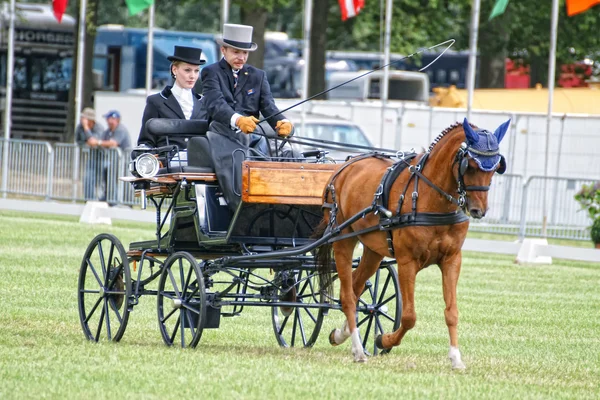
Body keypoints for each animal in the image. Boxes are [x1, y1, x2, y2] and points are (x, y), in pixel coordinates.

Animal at [316, 117, 508, 368]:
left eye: (495, 168)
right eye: (471, 166)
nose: (478, 210)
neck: (429, 196)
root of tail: (342, 168)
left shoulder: (452, 260)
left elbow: (452, 312)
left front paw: (456, 358)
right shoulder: (407, 262)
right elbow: (409, 317)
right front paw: (383, 340)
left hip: (373, 250)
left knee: (355, 287)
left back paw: (342, 334)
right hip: (343, 240)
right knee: (348, 296)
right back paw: (358, 350)